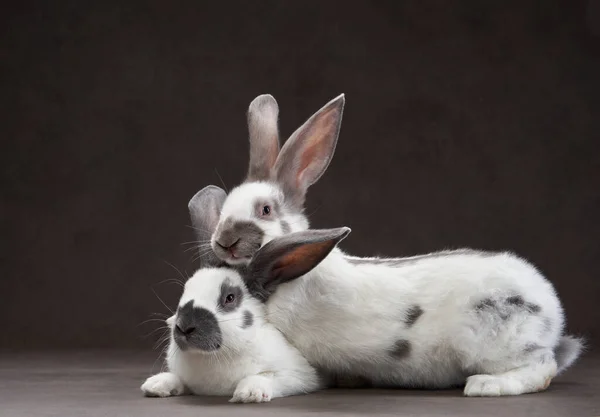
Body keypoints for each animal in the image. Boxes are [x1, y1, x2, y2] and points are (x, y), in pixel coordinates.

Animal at [190, 92, 584, 394]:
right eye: (225, 207)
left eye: (265, 209)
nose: (223, 241)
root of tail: (552, 310)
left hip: (500, 344)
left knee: (542, 368)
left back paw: (487, 386)